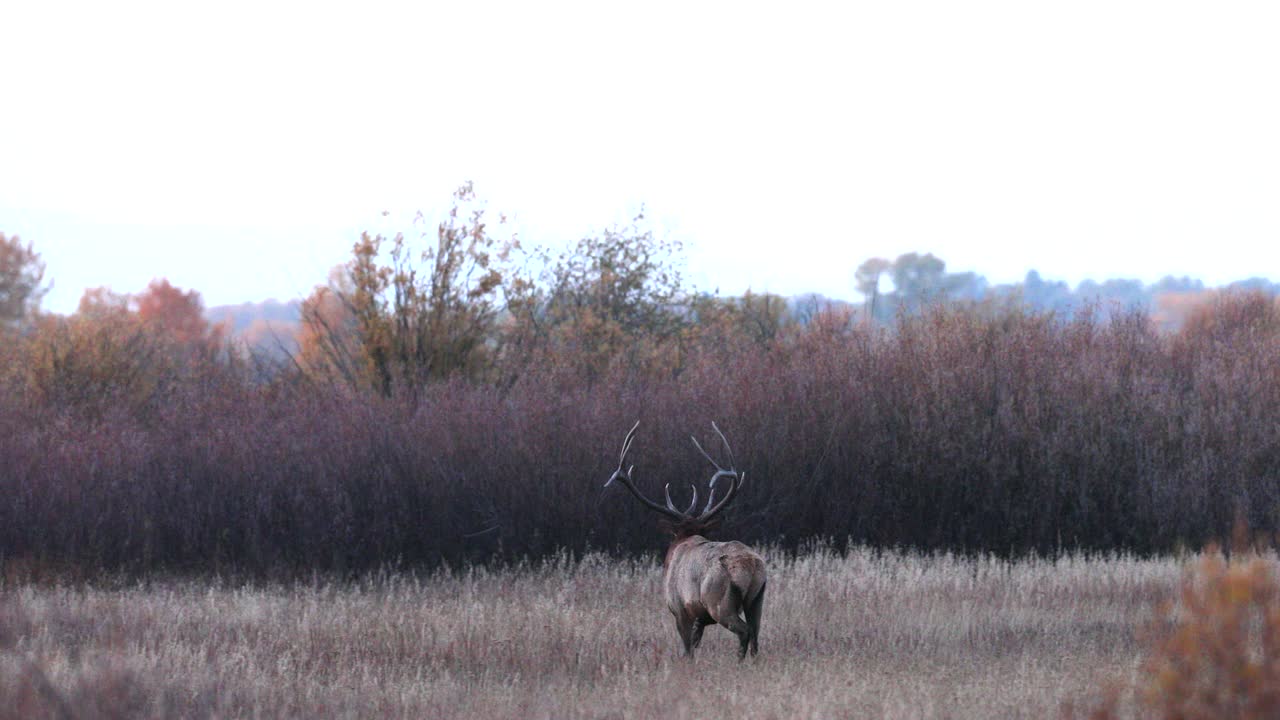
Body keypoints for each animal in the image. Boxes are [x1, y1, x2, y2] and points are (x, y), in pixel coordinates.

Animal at [604, 417, 762, 661]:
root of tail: (750, 566)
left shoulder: (680, 609)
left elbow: (687, 649)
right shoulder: (700, 617)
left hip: (719, 601)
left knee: (744, 631)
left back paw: (738, 662)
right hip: (757, 599)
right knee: (756, 634)